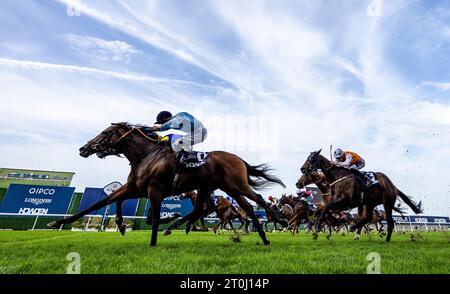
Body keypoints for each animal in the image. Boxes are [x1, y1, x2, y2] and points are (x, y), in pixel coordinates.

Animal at [48, 122, 284, 246]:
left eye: (106, 132)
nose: (84, 148)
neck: (146, 155)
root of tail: (238, 158)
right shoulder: (137, 188)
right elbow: (103, 202)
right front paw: (58, 222)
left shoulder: (154, 190)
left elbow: (152, 218)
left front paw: (152, 242)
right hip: (212, 188)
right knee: (211, 209)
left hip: (235, 186)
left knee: (254, 202)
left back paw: (276, 223)